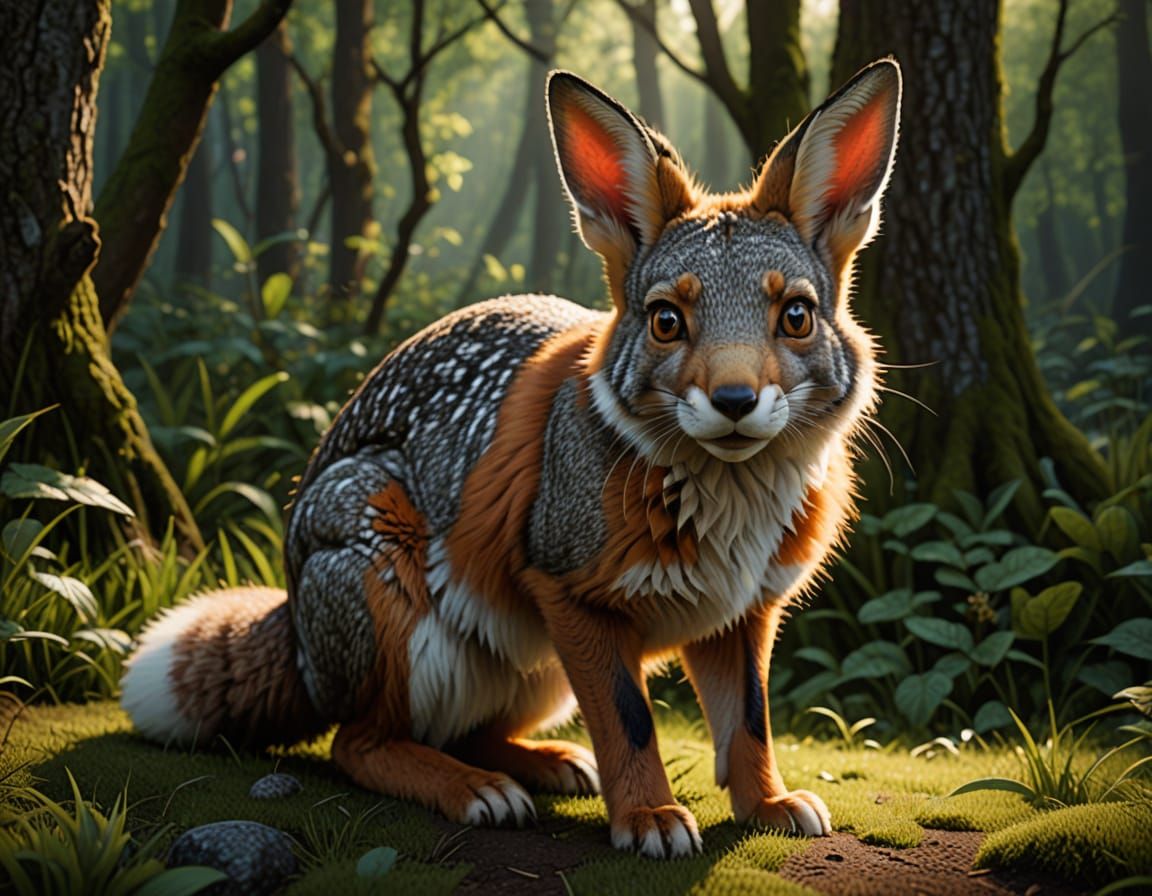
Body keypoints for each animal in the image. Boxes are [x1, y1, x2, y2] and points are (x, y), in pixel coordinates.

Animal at [121, 60, 901, 858]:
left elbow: (748, 723)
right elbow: (631, 724)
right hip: (395, 584)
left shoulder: (742, 612)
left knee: (462, 731)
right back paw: (472, 789)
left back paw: (538, 763)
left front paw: (765, 804)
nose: (736, 400)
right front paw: (649, 815)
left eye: (795, 317)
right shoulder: (570, 594)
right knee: (359, 744)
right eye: (667, 321)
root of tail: (292, 612)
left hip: (534, 671)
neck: (729, 516)